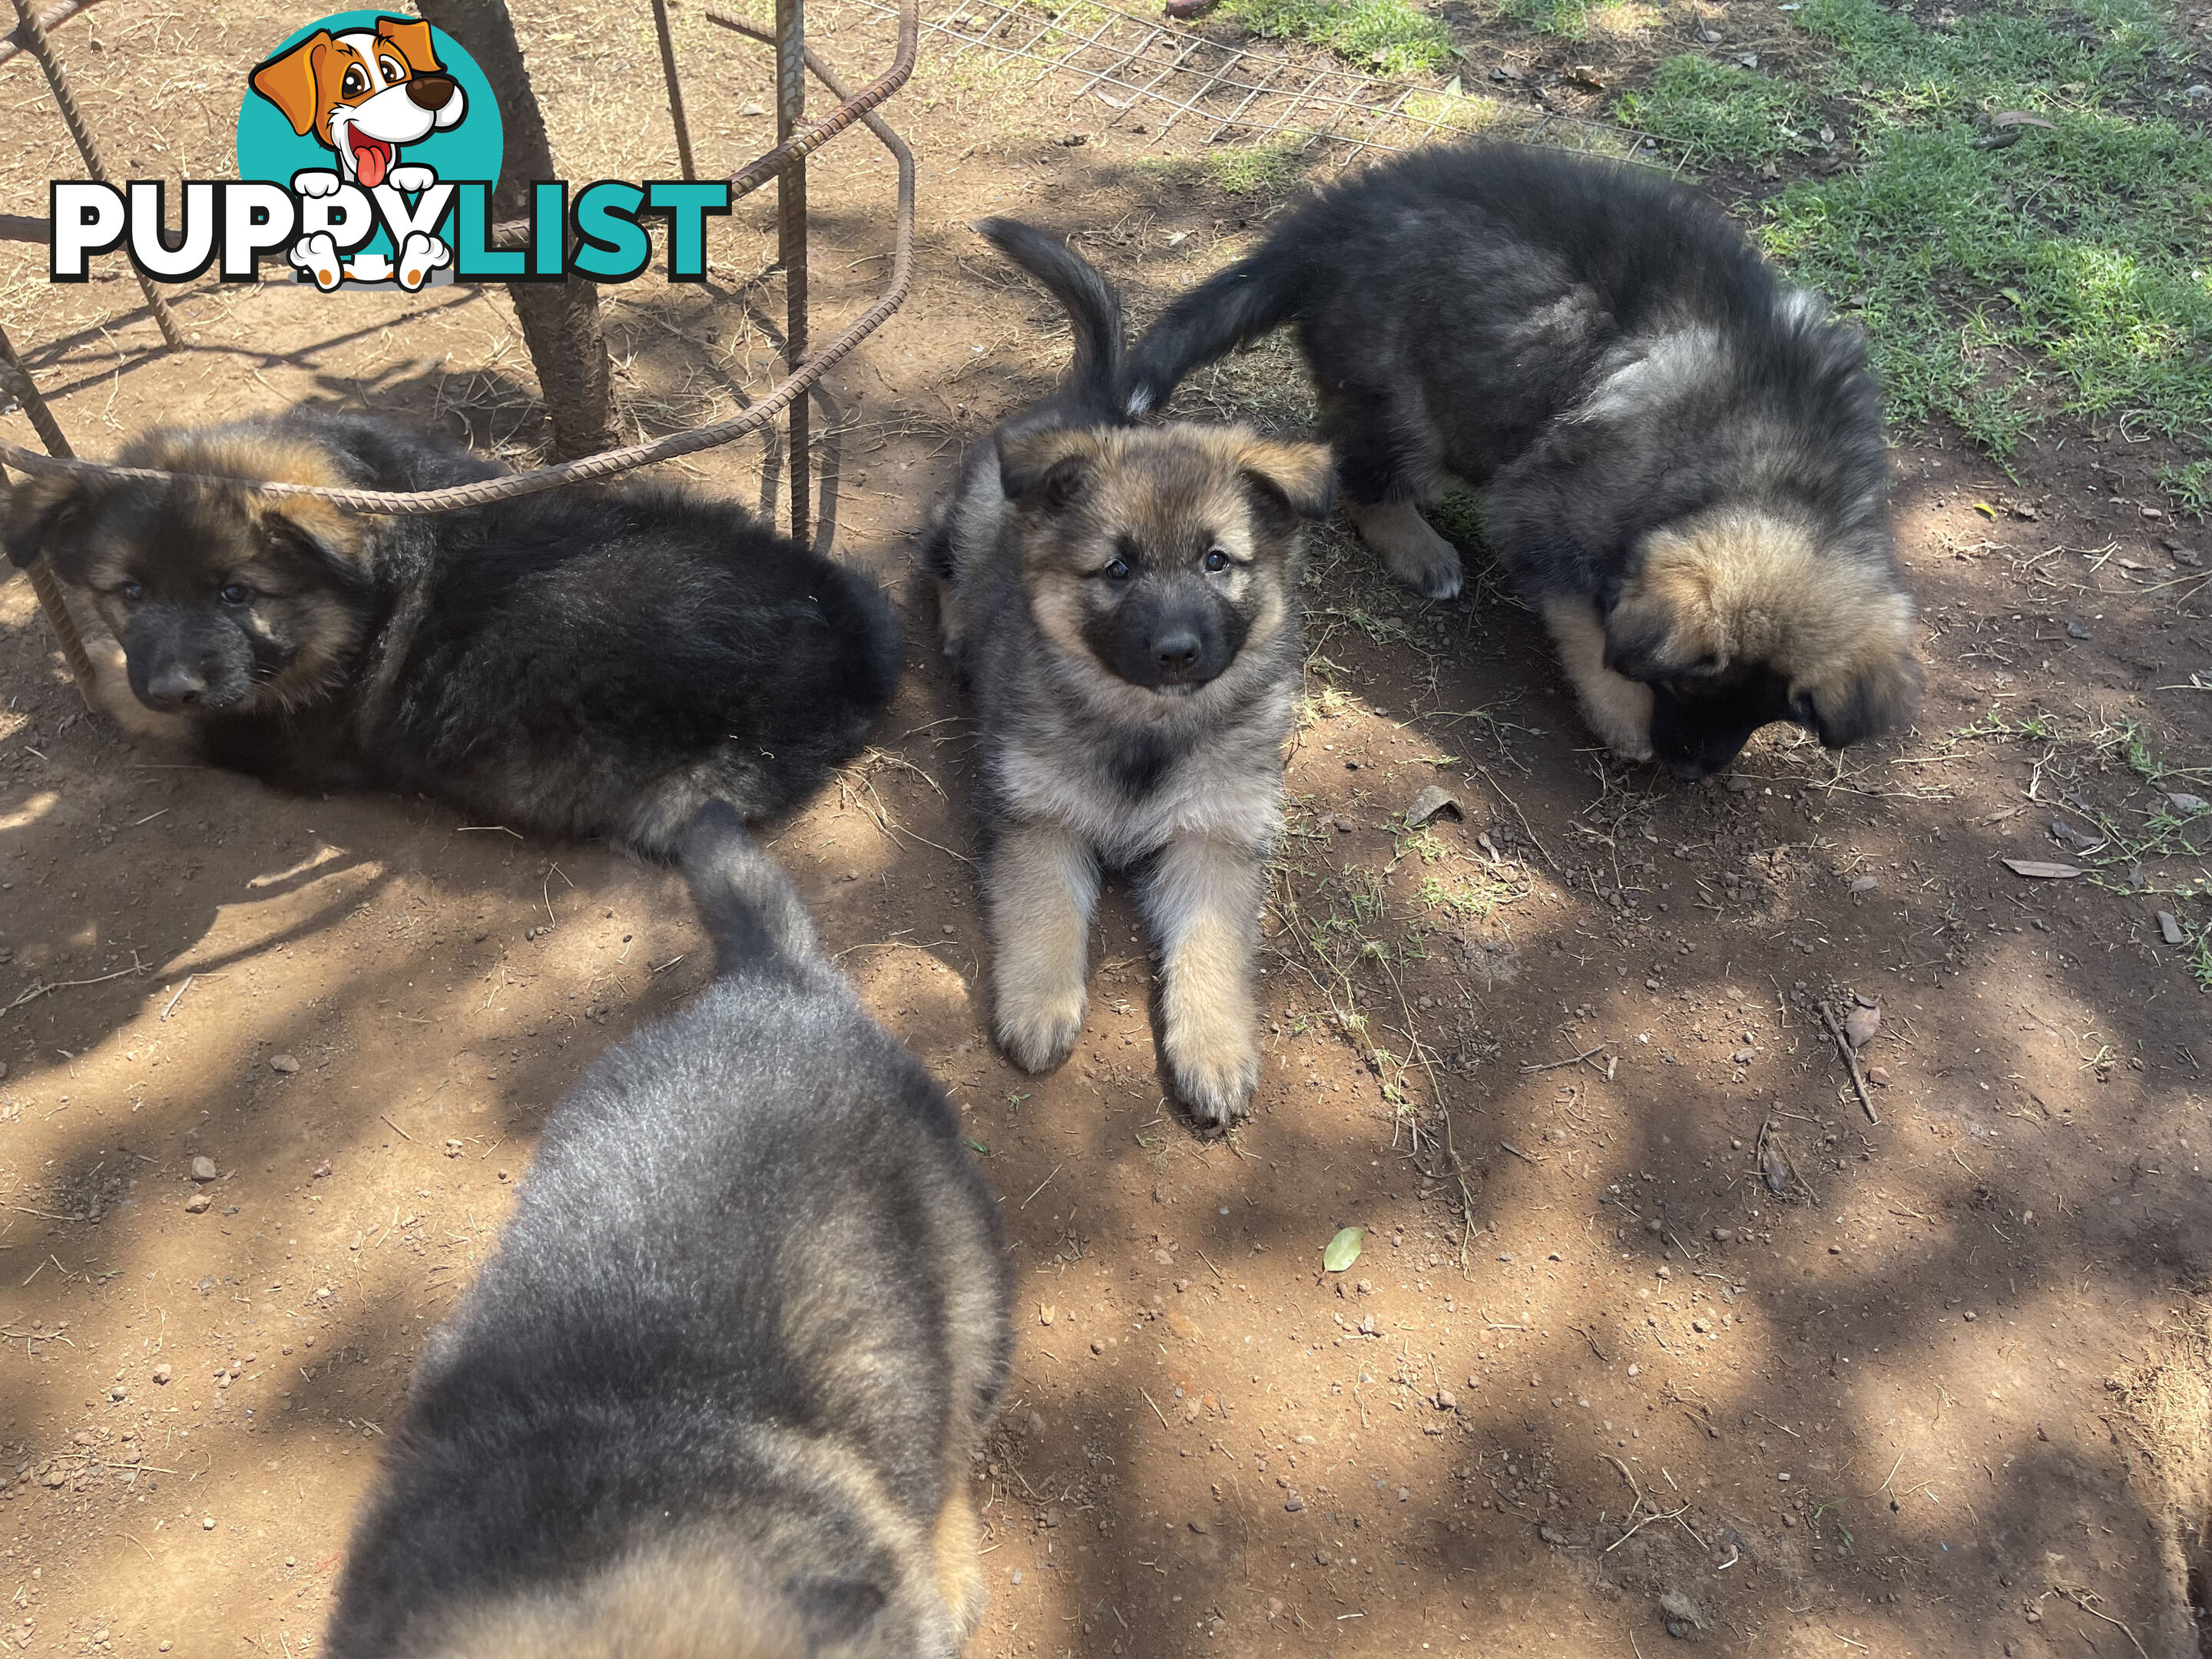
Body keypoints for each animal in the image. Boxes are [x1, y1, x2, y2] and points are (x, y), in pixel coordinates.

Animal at [4, 411, 898, 863]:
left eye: (237, 594)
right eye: (129, 593)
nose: (170, 686)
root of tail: (842, 647)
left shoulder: (265, 737)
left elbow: (140, 704)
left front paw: (96, 676)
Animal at [920, 221, 1327, 1132]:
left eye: (1218, 562)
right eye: (1117, 568)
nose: (1177, 650)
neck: (1145, 726)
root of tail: (1091, 400)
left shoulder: (1214, 840)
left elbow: (1211, 947)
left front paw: (1214, 1049)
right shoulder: (1039, 819)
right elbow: (1042, 911)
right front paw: (1039, 1005)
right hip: (973, 517)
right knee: (941, 565)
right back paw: (960, 631)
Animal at [1124, 141, 1919, 778]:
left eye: (1765, 712)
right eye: (1683, 688)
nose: (1691, 772)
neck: (1771, 470)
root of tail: (1330, 224)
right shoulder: (1548, 511)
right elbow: (1589, 631)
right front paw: (1623, 720)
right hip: (1407, 402)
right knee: (1365, 479)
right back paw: (1419, 548)